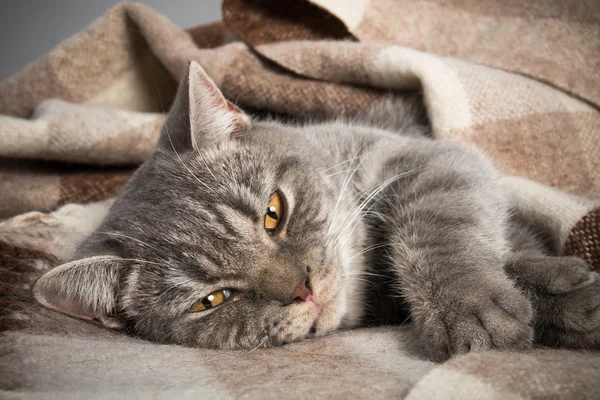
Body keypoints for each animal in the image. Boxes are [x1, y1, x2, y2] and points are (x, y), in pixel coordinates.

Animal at [32, 61, 600, 360]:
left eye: (273, 212)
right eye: (213, 300)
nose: (302, 290)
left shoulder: (426, 160)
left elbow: (441, 228)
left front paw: (474, 301)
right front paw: (564, 300)